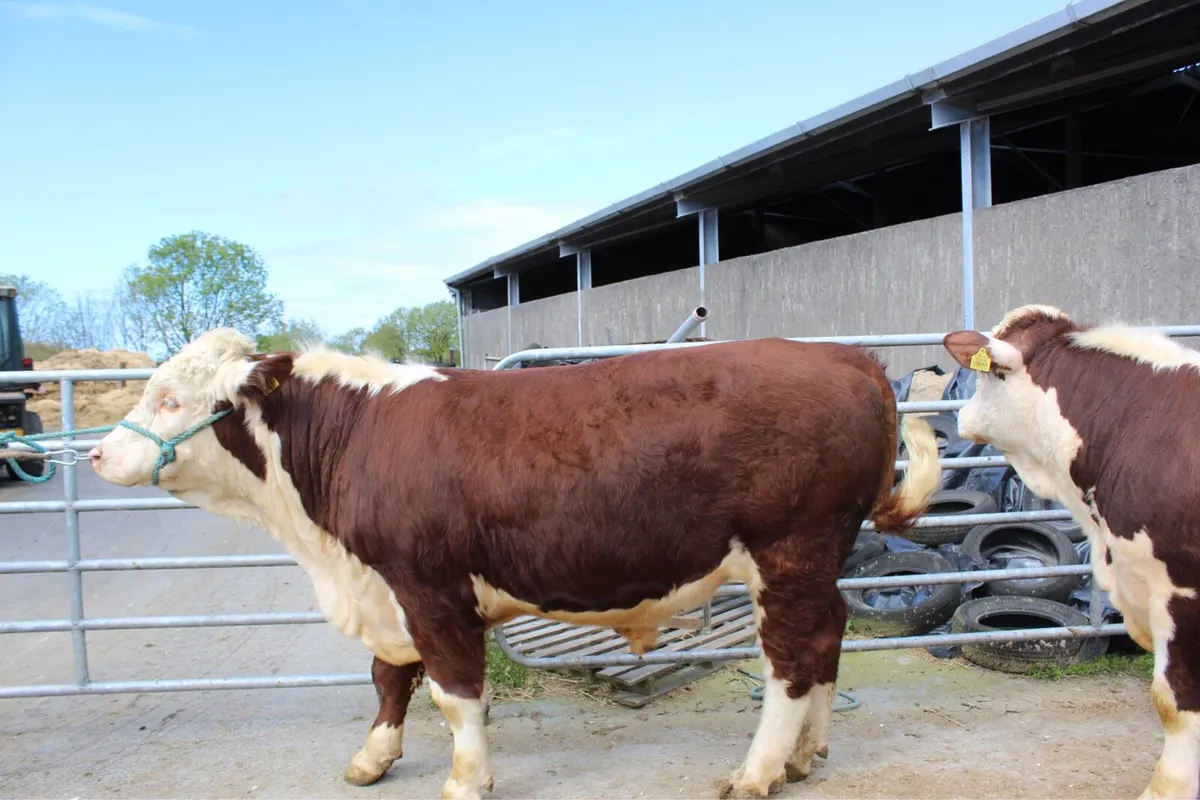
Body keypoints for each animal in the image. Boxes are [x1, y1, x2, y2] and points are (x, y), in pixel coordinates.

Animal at [88, 328, 941, 799]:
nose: (97, 453)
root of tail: (849, 359)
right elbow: (389, 676)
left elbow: (452, 692)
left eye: (169, 399)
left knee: (791, 660)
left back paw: (759, 771)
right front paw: (373, 757)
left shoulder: (428, 587)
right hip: (817, 561)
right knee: (828, 637)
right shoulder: (388, 589)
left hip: (789, 552)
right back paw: (806, 753)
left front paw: (466, 778)